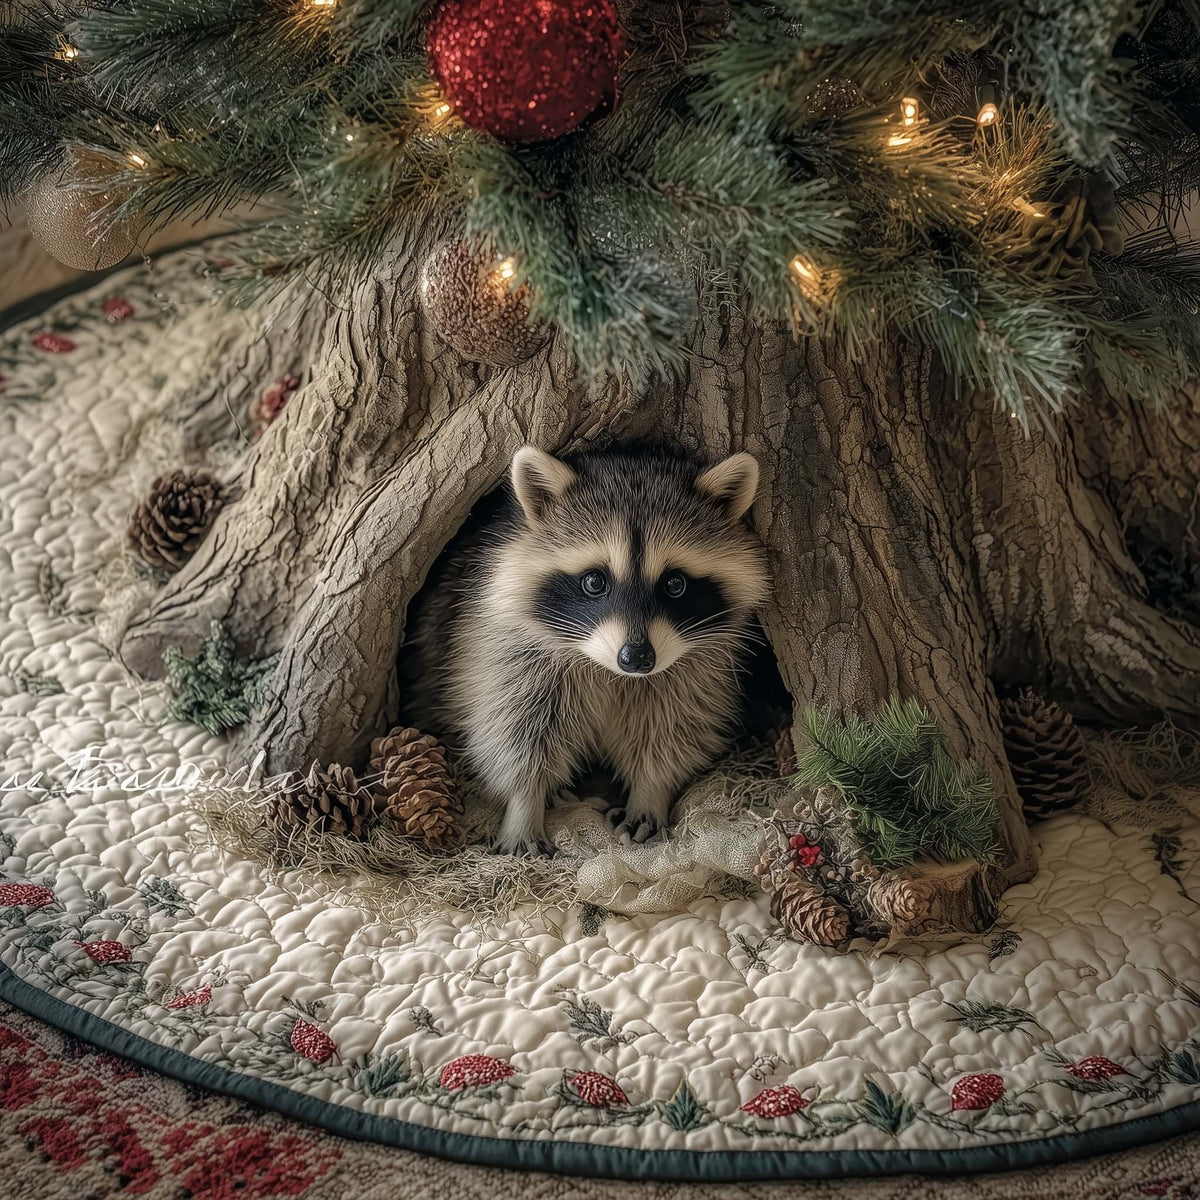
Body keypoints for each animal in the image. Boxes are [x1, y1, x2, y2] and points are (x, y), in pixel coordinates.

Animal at [407, 445, 770, 855]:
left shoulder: (696, 668)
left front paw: (650, 791)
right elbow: (512, 730)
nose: (637, 658)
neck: (610, 671)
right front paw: (524, 804)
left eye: (675, 584)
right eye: (595, 581)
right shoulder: (503, 648)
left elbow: (673, 728)